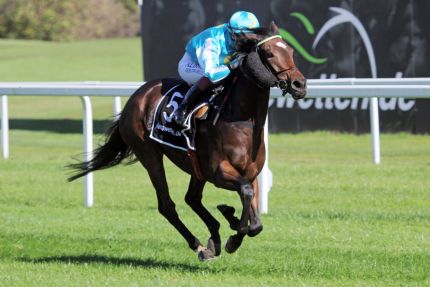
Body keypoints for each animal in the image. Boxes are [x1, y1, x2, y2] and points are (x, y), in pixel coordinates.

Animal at [69, 22, 306, 260]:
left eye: (291, 51)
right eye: (268, 53)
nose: (299, 84)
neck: (242, 120)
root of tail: (137, 96)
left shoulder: (250, 172)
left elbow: (256, 223)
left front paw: (231, 222)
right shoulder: (219, 172)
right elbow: (246, 195)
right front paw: (232, 231)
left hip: (195, 165)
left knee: (191, 198)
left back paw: (213, 239)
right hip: (150, 155)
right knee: (167, 205)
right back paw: (199, 244)